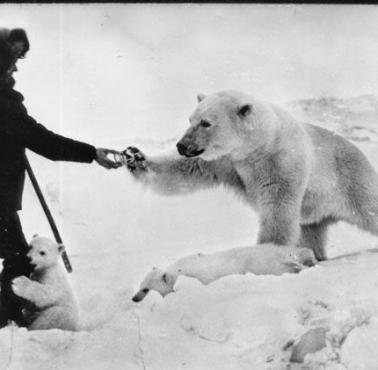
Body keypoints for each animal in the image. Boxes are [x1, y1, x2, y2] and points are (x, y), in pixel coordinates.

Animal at [122, 89, 378, 260]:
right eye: (191, 119)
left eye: (206, 122)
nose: (182, 145)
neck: (258, 146)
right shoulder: (226, 162)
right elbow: (186, 171)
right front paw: (135, 157)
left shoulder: (280, 162)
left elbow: (278, 209)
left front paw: (265, 253)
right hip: (314, 210)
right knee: (310, 231)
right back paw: (315, 256)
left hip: (350, 181)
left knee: (369, 208)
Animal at [133, 244, 316, 302]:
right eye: (140, 285)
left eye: (145, 289)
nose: (133, 298)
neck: (178, 271)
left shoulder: (202, 277)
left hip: (264, 263)